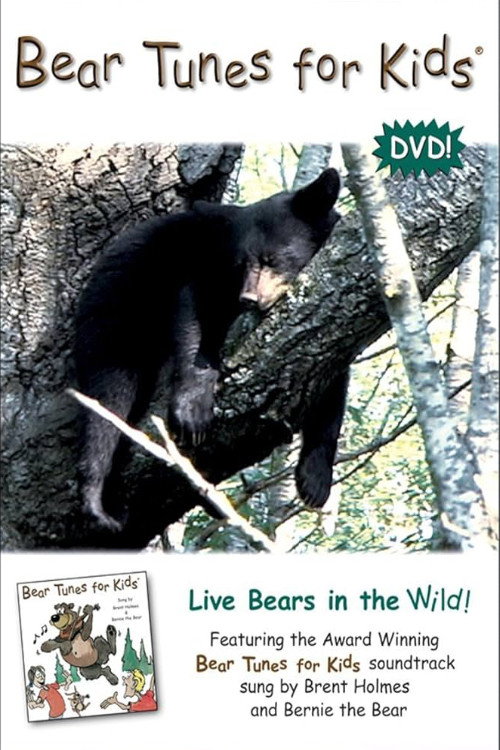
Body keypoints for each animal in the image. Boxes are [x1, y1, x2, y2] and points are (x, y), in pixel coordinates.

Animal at [74, 167, 348, 531]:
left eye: (270, 259)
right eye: (240, 262)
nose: (249, 298)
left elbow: (331, 383)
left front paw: (315, 480)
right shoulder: (205, 269)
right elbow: (192, 318)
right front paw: (192, 410)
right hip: (115, 317)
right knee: (107, 402)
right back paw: (96, 494)